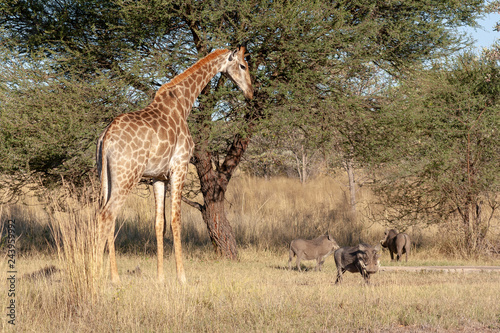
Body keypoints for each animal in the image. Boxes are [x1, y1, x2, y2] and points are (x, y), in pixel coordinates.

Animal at [96, 45, 254, 282]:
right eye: (243, 65)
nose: (251, 92)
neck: (183, 102)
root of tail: (106, 137)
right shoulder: (180, 167)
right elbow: (176, 220)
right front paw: (182, 277)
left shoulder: (157, 177)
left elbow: (159, 223)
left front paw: (161, 277)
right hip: (127, 176)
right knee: (108, 214)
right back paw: (103, 276)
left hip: (105, 176)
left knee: (103, 214)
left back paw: (105, 274)